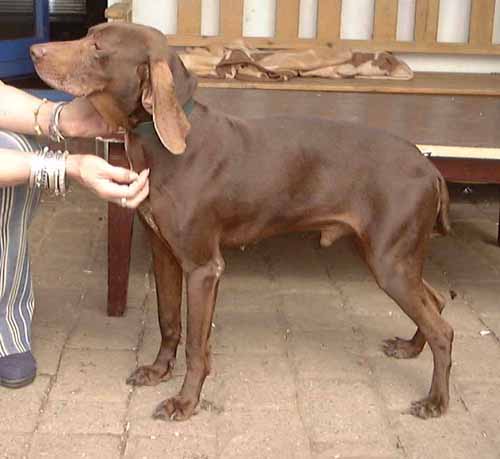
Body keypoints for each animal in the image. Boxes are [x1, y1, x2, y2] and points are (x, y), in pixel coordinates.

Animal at [30, 22, 454, 424]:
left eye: (97, 46)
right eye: (88, 35)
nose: (34, 50)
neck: (165, 147)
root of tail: (431, 169)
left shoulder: (204, 267)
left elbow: (196, 346)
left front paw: (185, 402)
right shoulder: (164, 252)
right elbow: (169, 321)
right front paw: (158, 370)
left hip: (390, 262)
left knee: (443, 330)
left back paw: (436, 401)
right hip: (394, 257)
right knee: (435, 301)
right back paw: (410, 347)